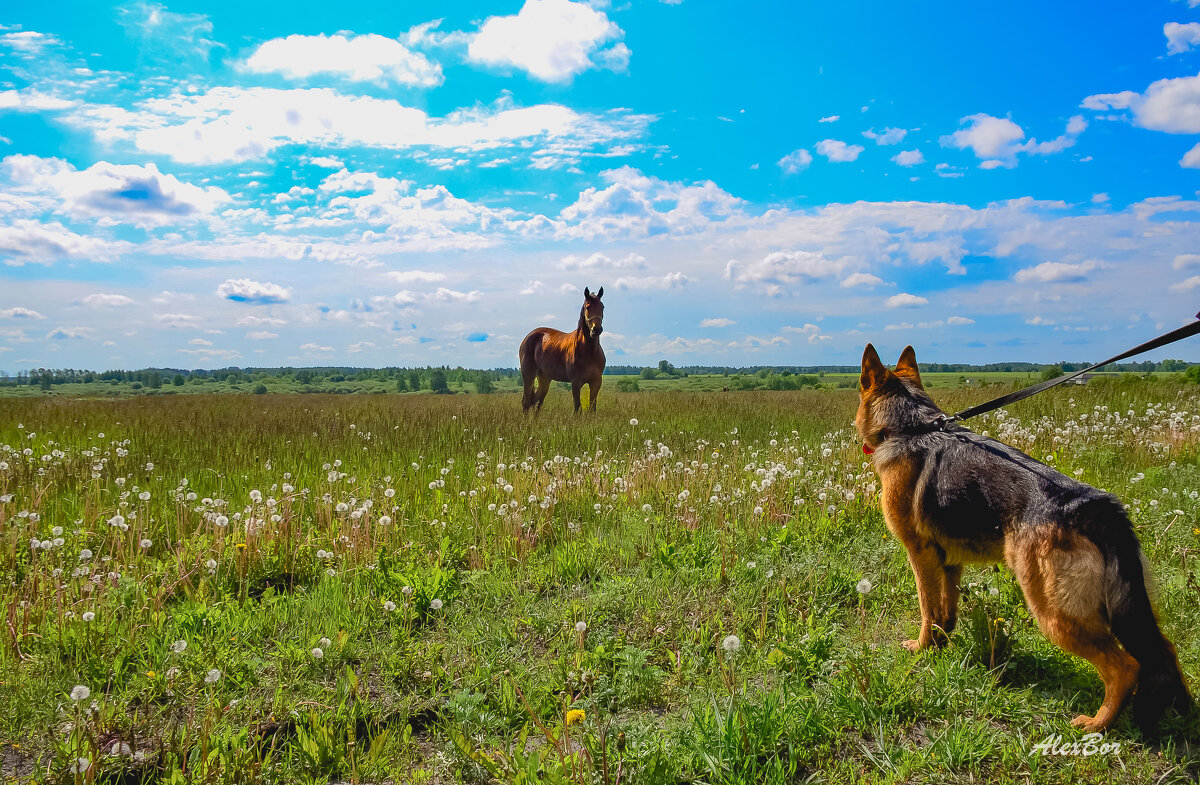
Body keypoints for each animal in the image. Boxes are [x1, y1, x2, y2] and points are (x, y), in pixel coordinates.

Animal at [859, 348, 1185, 734]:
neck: (913, 425)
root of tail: (1094, 508)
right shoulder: (950, 561)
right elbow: (947, 611)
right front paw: (942, 645)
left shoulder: (919, 553)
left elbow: (929, 609)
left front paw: (923, 647)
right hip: (1126, 608)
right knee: (1163, 650)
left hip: (1055, 614)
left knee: (1125, 666)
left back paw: (1097, 723)